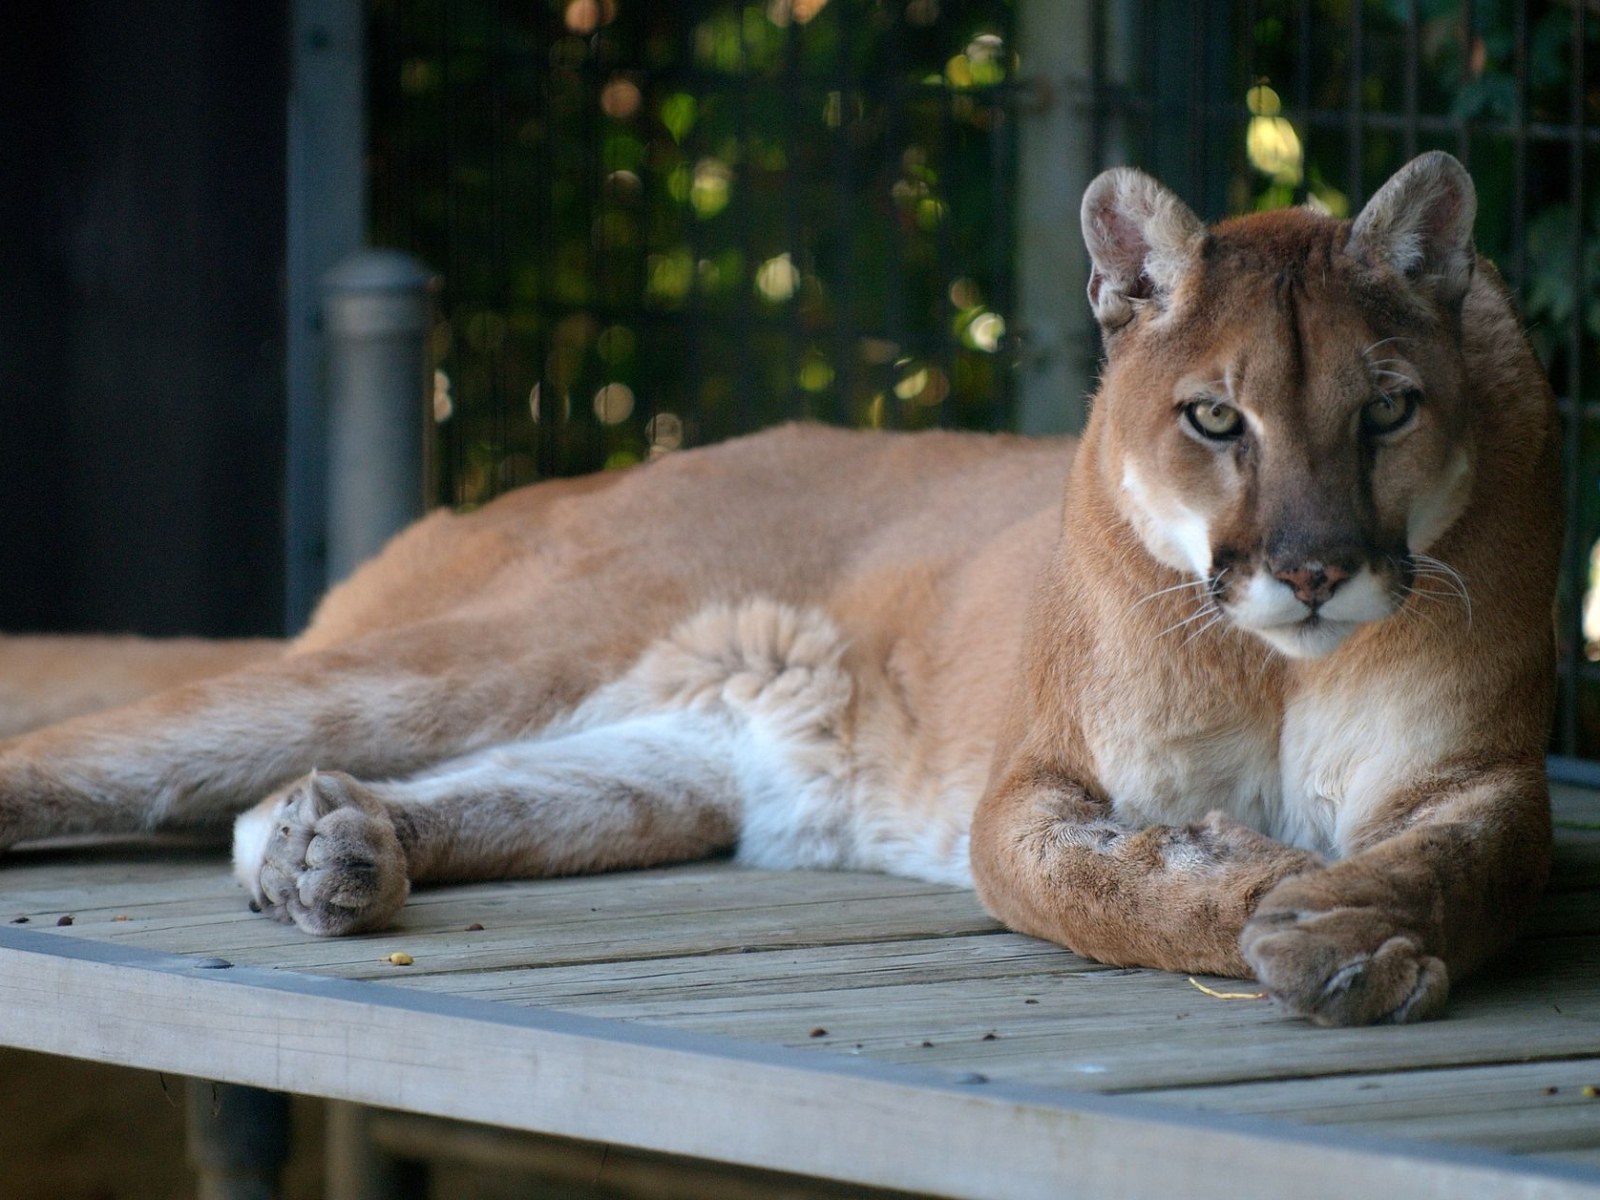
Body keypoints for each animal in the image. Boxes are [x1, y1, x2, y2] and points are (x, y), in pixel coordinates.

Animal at [0, 152, 1558, 1026]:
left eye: (1386, 410)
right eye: (1217, 419)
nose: (1312, 571)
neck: (1276, 660)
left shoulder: (1478, 774)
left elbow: (1472, 865)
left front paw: (1351, 926)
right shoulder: (1034, 785)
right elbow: (1096, 888)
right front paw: (1258, 887)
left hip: (670, 770)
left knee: (316, 804)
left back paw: (328, 851)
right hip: (477, 657)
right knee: (90, 757)